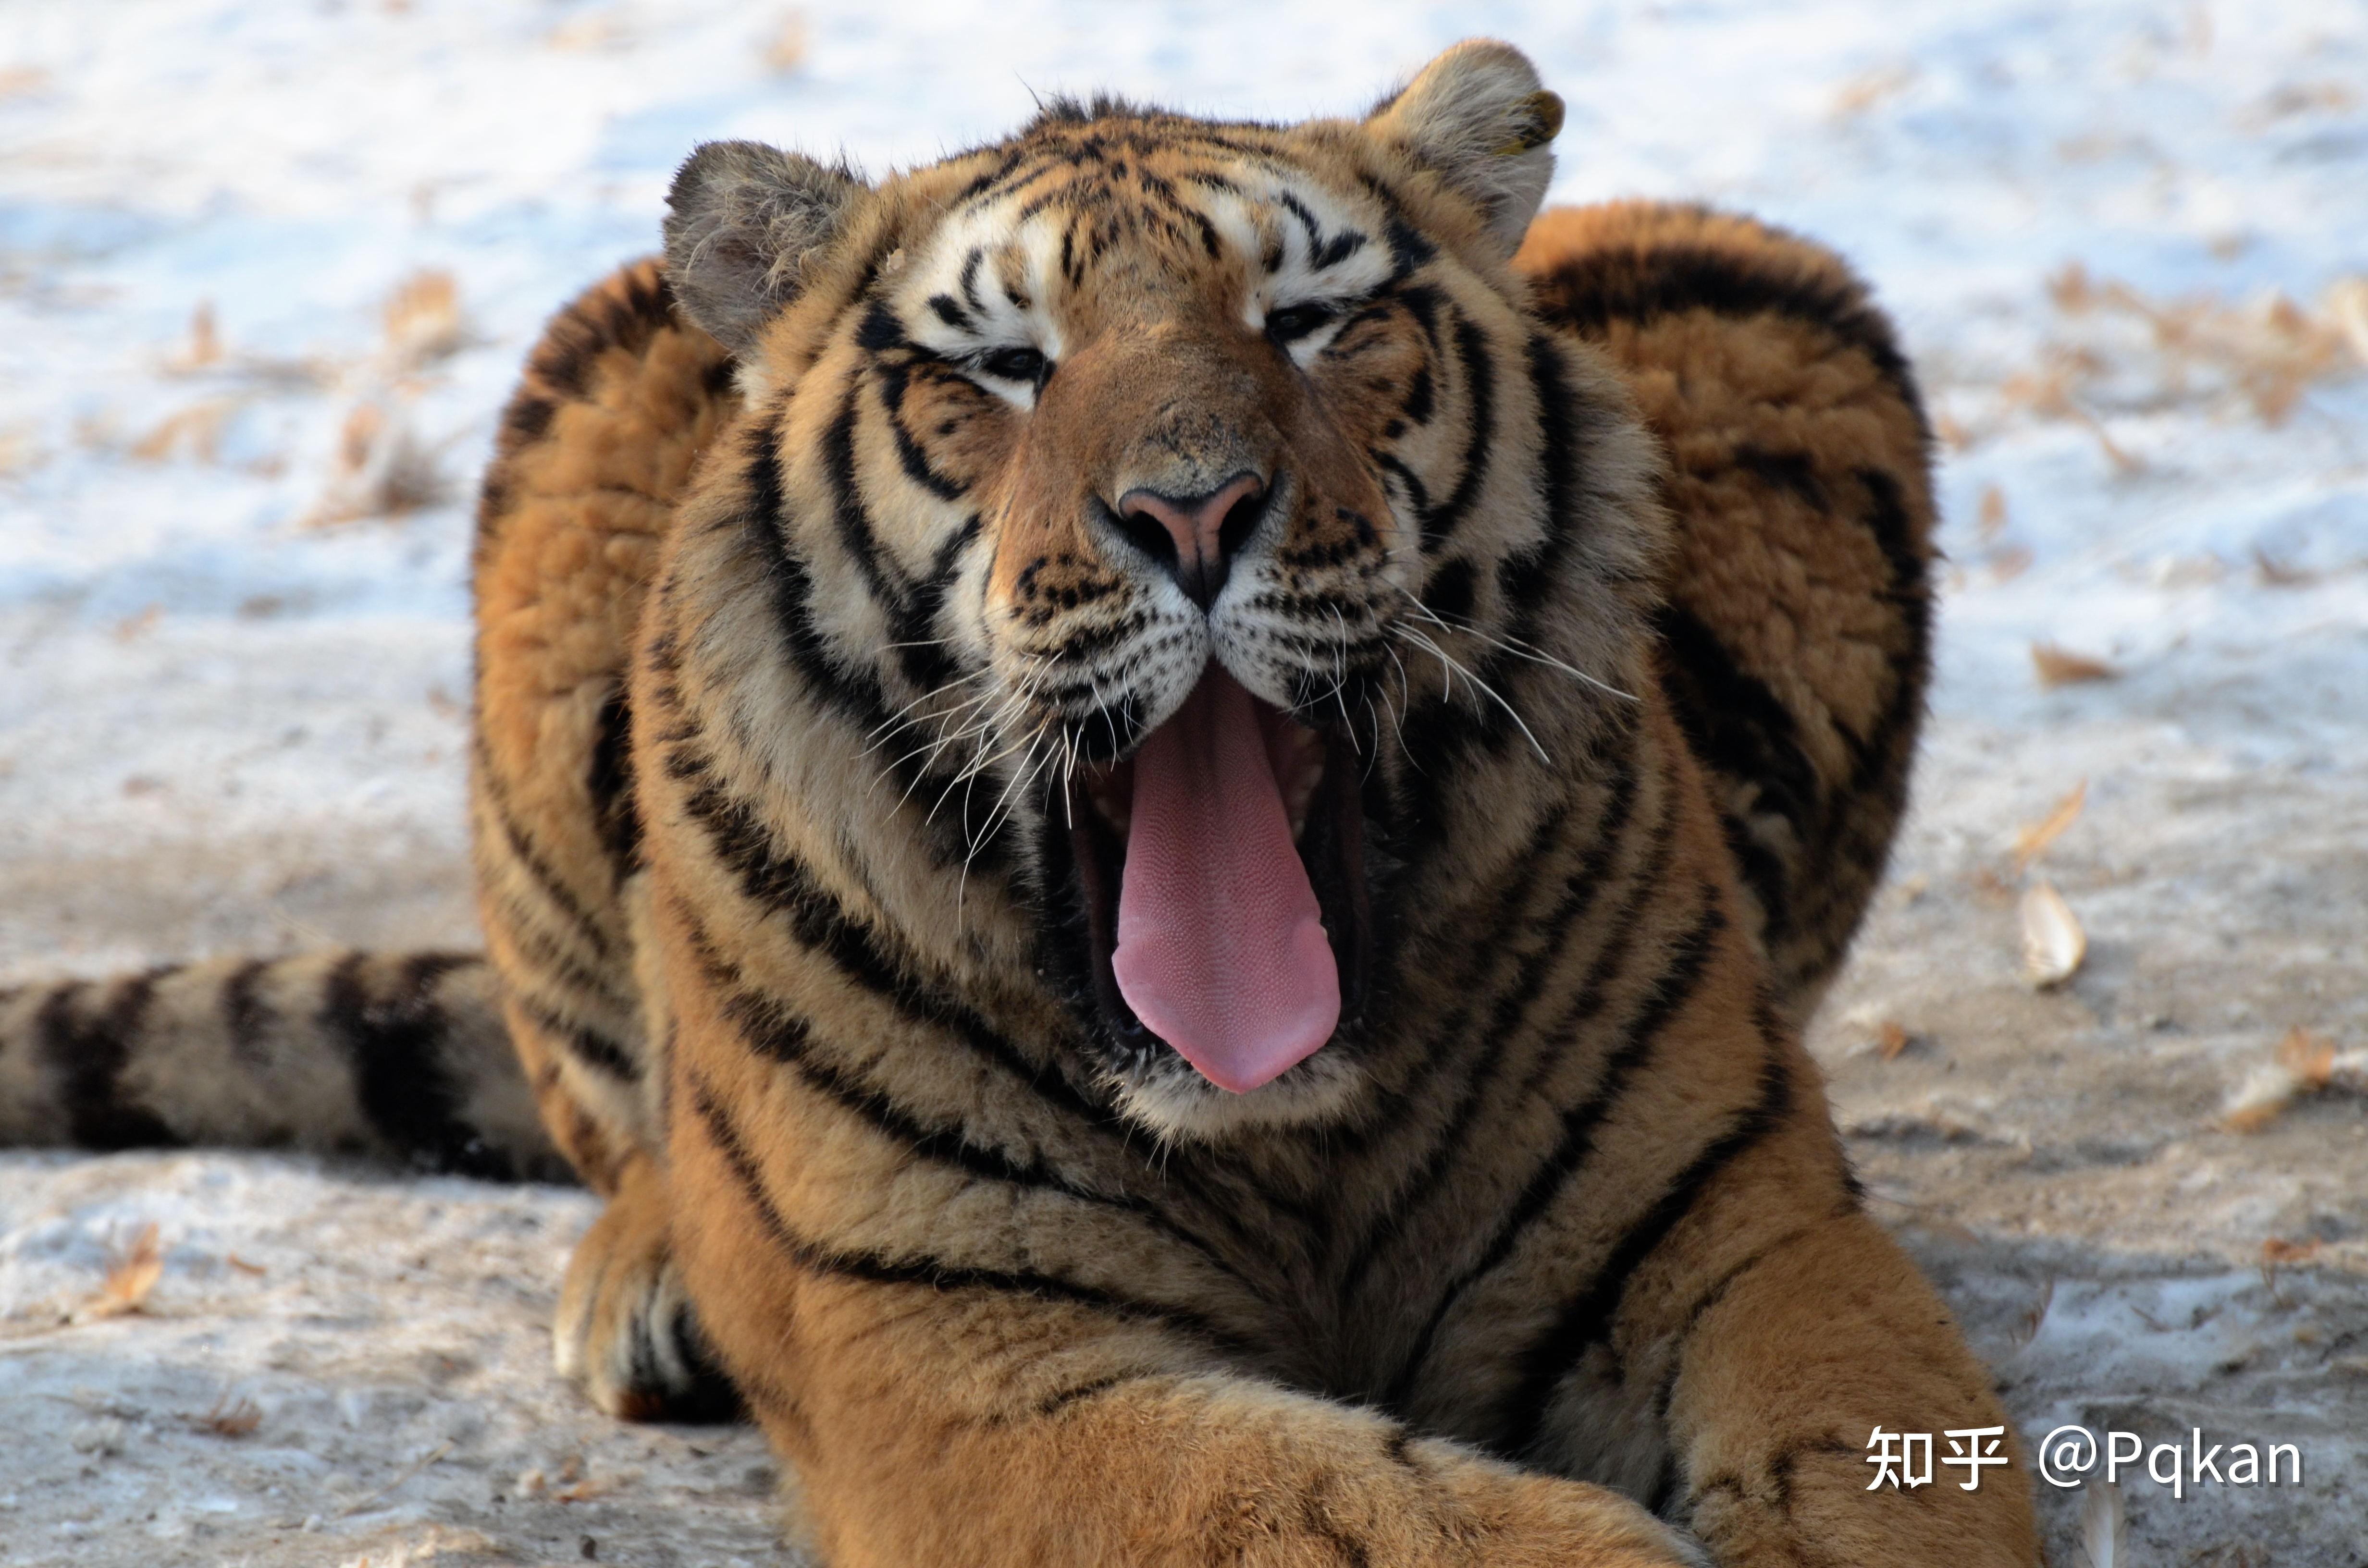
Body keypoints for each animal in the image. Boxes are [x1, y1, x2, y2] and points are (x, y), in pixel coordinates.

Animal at [0, 40, 2036, 1568]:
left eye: (1311, 320)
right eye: (1002, 366)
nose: (1194, 510)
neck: (1284, 1134)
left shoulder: (1748, 1235)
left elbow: (1879, 1468)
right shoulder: (968, 1357)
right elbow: (1354, 1514)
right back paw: (652, 1274)